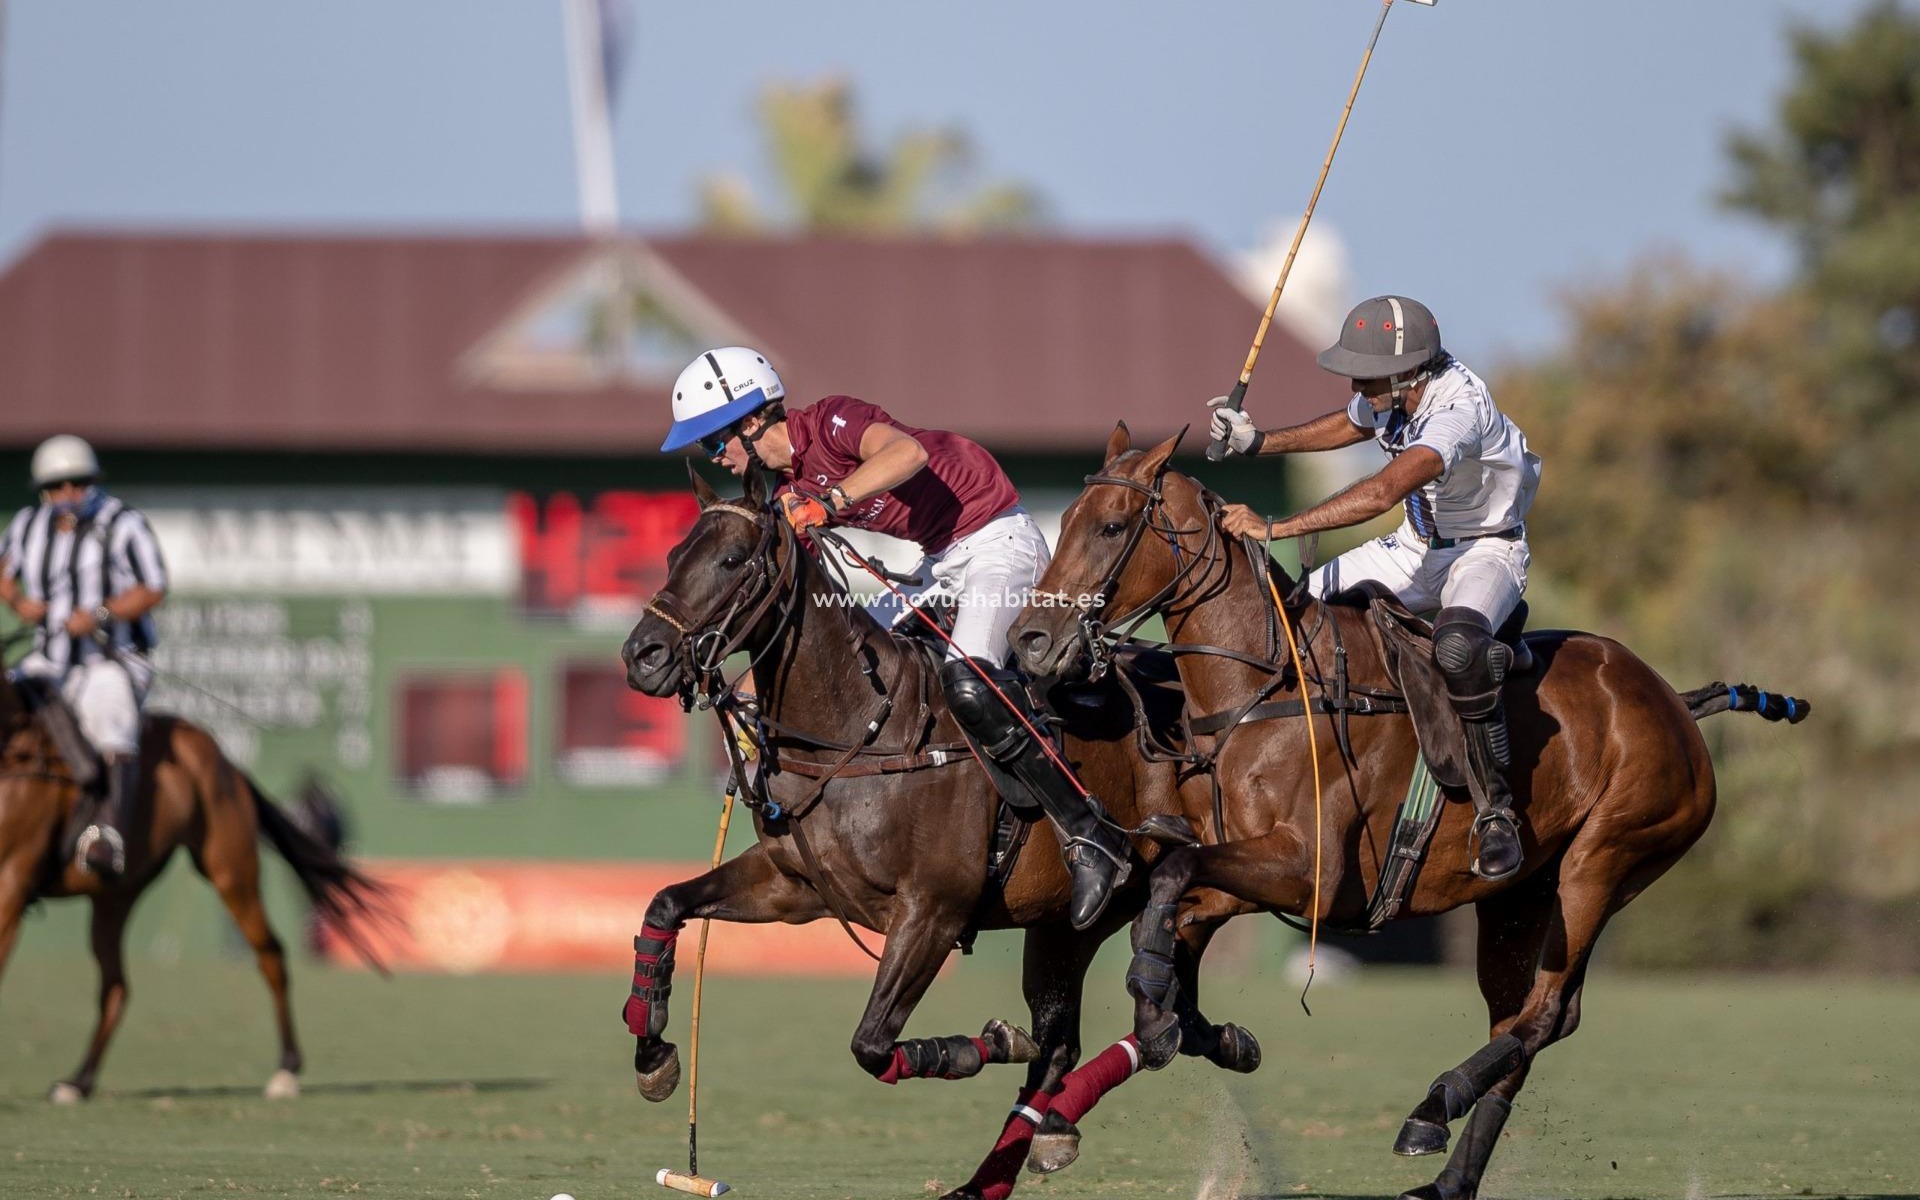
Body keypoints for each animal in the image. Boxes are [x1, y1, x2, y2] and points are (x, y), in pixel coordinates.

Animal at [0, 656, 385, 1105]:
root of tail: (221, 755)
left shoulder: (11, 884)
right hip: (115, 895)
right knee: (116, 987)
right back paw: (79, 1081)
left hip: (230, 869)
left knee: (270, 953)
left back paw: (286, 1070)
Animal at [614, 466, 1267, 1190]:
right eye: (674, 555)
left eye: (732, 560)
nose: (642, 656)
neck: (862, 729)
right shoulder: (793, 886)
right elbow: (665, 904)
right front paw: (653, 1056)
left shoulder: (933, 908)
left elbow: (872, 1043)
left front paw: (989, 1042)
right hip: (1065, 924)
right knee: (1073, 1039)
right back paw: (1041, 1141)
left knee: (1153, 1010)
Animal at [1013, 424, 1804, 1198]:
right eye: (1066, 521)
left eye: (1112, 526)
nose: (1030, 640)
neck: (1264, 692)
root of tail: (1673, 699)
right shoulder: (1243, 873)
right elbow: (1174, 920)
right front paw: (1187, 1032)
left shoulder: (1311, 874)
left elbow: (1172, 879)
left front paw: (1153, 1006)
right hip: (1518, 898)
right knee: (1528, 1015)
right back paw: (1447, 1169)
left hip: (1605, 860)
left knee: (1549, 1010)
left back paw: (1438, 1100)